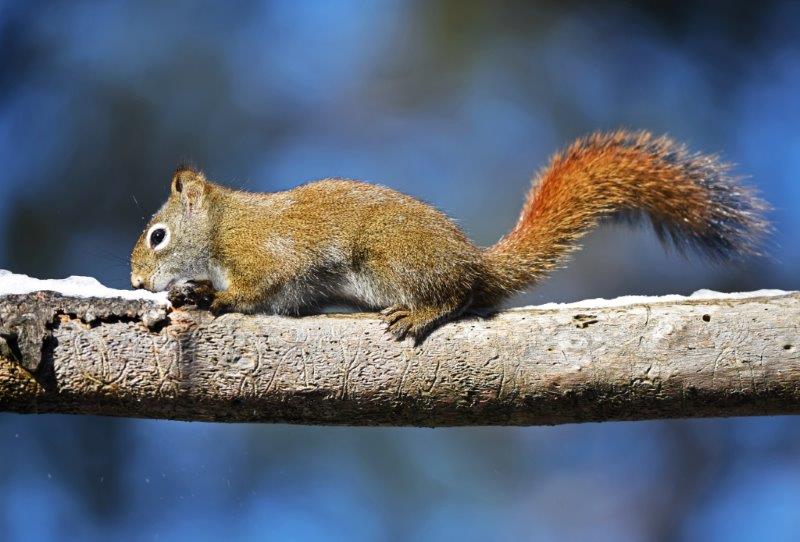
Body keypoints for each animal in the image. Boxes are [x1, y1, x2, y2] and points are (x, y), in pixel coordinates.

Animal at [130, 130, 769, 341]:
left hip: (394, 261)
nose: (135, 281)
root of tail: (474, 261)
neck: (222, 224)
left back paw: (420, 312)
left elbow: (257, 287)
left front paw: (213, 296)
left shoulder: (264, 253)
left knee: (456, 295)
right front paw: (194, 291)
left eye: (158, 235)